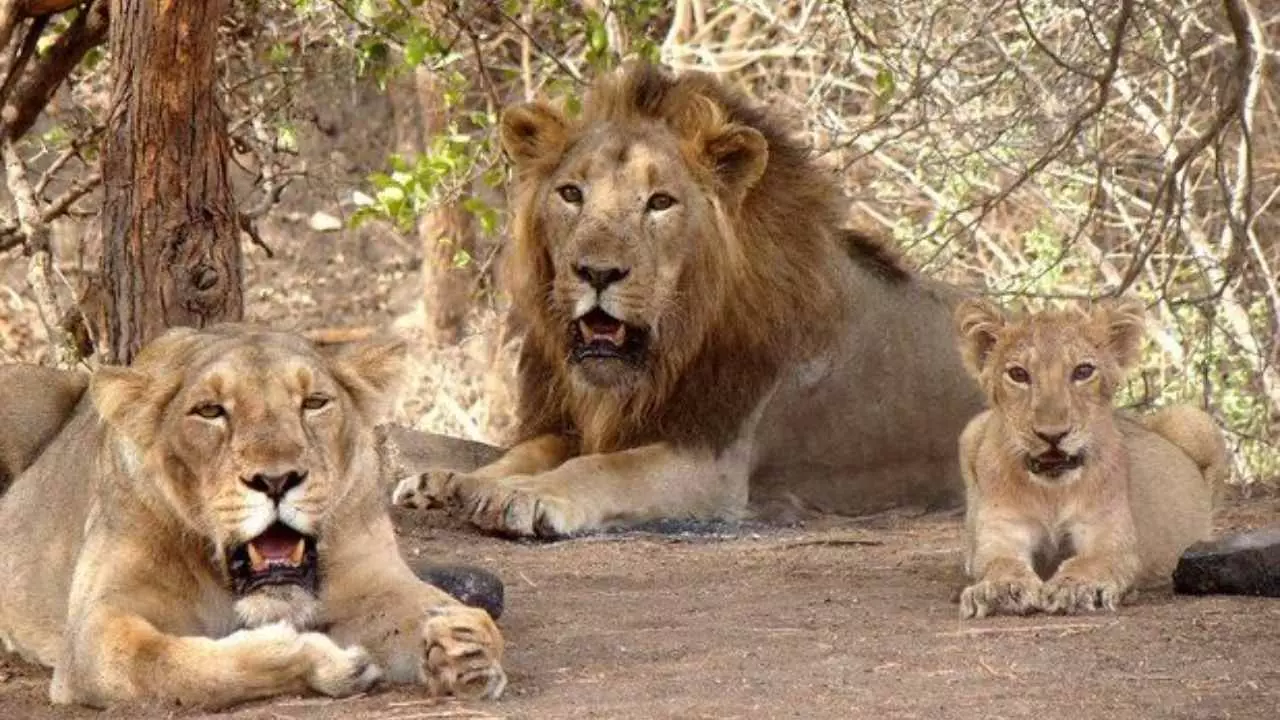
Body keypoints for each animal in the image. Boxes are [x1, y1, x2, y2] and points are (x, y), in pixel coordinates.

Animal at [0, 325, 506, 708]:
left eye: (314, 403)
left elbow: (441, 611)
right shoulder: (94, 628)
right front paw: (321, 661)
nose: (277, 480)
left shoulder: (372, 580)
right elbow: (172, 669)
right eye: (210, 411)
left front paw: (465, 645)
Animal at [392, 61, 985, 537]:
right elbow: (527, 450)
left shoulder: (713, 461)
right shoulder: (581, 422)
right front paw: (451, 480)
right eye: (570, 193)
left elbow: (606, 469)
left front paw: (523, 495)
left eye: (660, 202)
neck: (666, 353)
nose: (596, 272)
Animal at [953, 298, 1226, 619]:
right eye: (1018, 374)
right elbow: (999, 562)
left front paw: (1077, 588)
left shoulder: (1111, 538)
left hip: (1193, 419)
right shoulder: (1002, 532)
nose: (1053, 435)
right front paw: (1000, 589)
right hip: (972, 430)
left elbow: (1090, 562)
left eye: (1083, 371)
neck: (1052, 493)